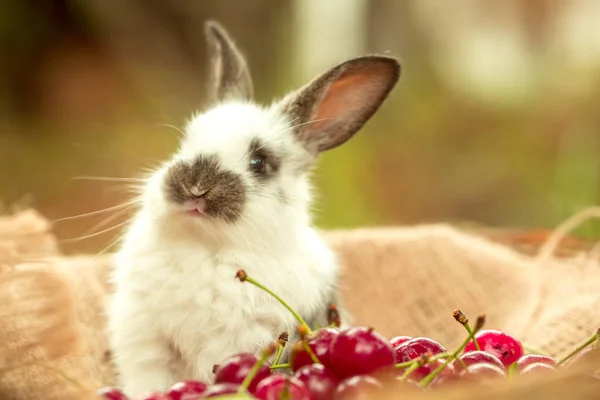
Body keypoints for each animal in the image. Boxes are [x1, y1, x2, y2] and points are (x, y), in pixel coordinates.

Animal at [106, 19, 400, 396]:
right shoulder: (146, 340)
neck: (205, 248)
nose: (196, 187)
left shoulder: (241, 340)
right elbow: (147, 383)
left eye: (259, 163)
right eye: (183, 144)